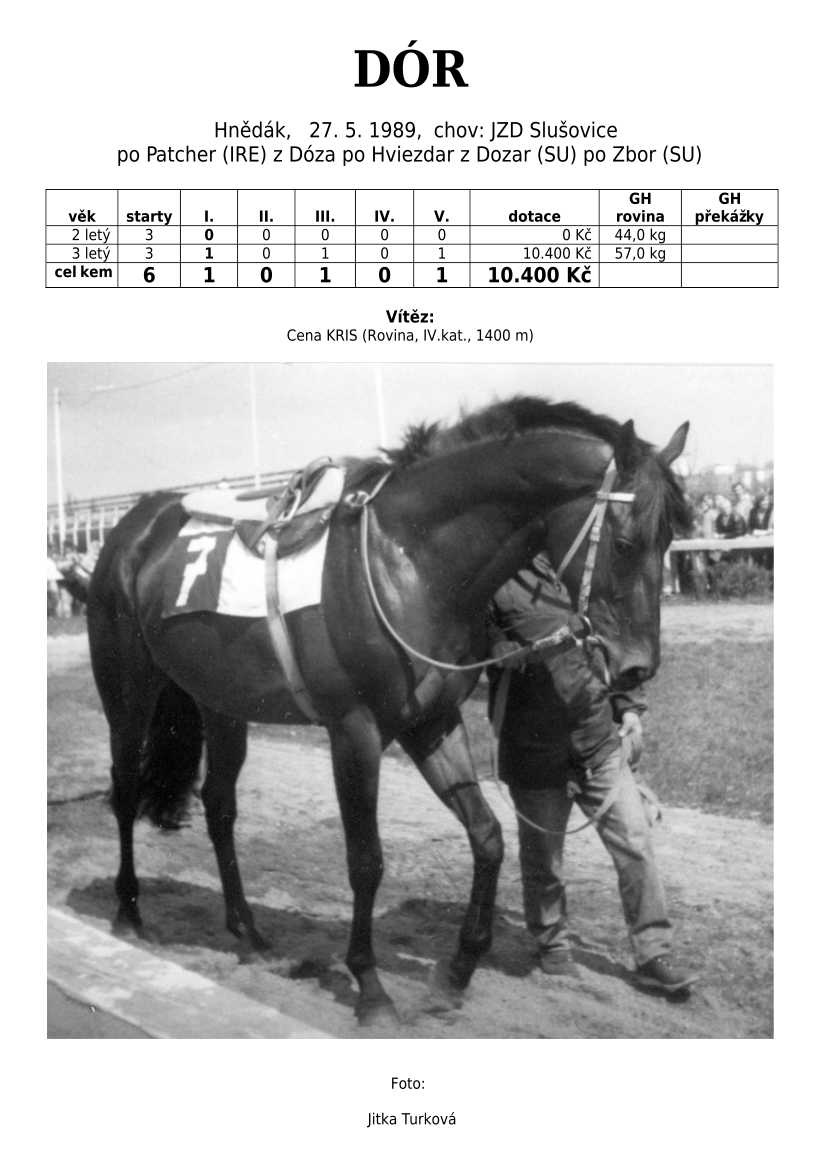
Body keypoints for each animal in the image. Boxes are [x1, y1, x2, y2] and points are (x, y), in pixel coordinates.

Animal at [84, 396, 690, 1025]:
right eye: (626, 542)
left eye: (670, 539)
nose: (637, 667)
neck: (412, 560)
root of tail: (132, 527)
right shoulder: (355, 732)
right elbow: (366, 860)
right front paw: (370, 987)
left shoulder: (432, 723)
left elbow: (488, 836)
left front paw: (457, 970)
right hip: (128, 691)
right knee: (125, 788)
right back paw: (129, 912)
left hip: (222, 702)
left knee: (219, 806)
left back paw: (246, 930)